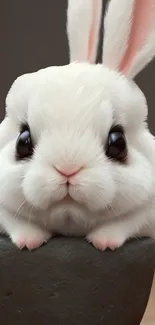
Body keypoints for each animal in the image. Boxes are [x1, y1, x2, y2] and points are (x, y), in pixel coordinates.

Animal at [0, 0, 155, 251]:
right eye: (22, 142)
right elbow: (15, 222)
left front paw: (105, 242)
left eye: (118, 143)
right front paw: (28, 241)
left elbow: (126, 222)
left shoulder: (146, 211)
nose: (67, 168)